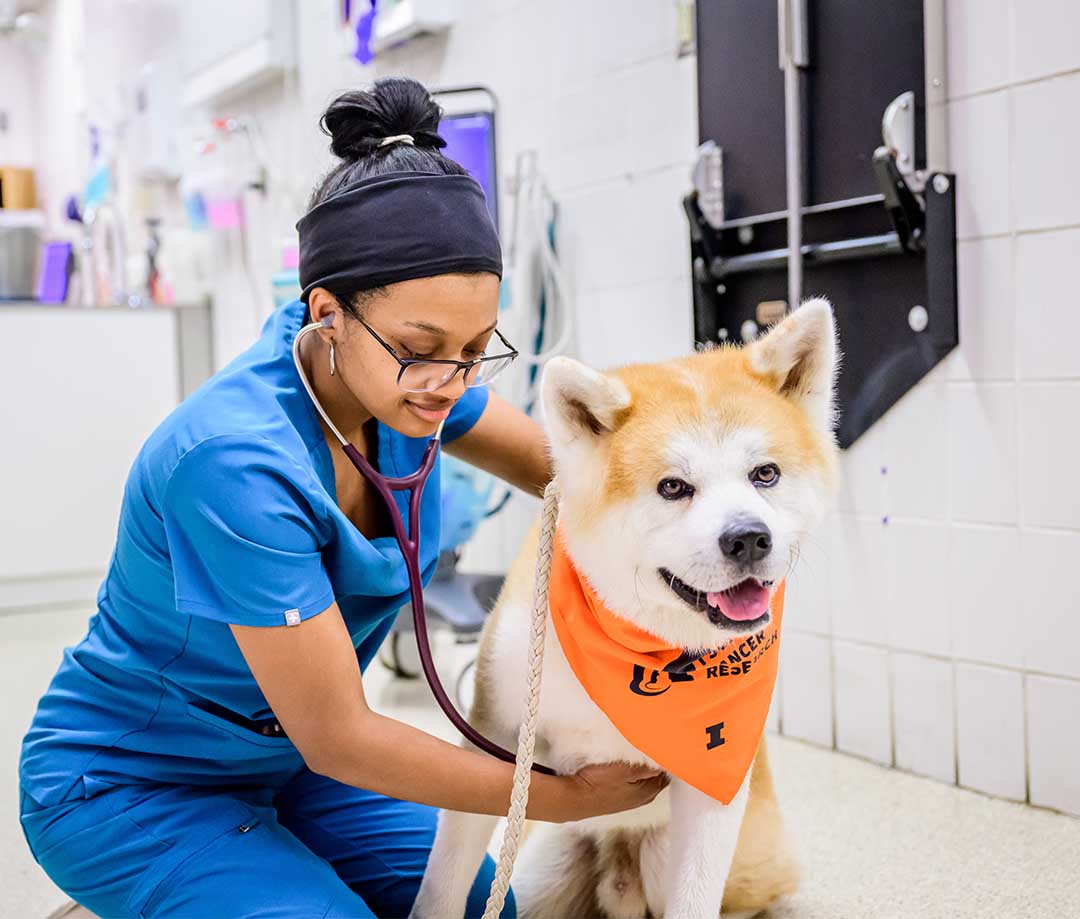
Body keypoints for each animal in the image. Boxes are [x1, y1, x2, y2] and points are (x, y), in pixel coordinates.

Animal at [408, 300, 838, 919]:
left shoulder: (712, 787)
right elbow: (442, 887)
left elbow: (694, 900)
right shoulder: (496, 742)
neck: (644, 646)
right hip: (540, 876)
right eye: (674, 487)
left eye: (766, 474)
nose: (749, 539)